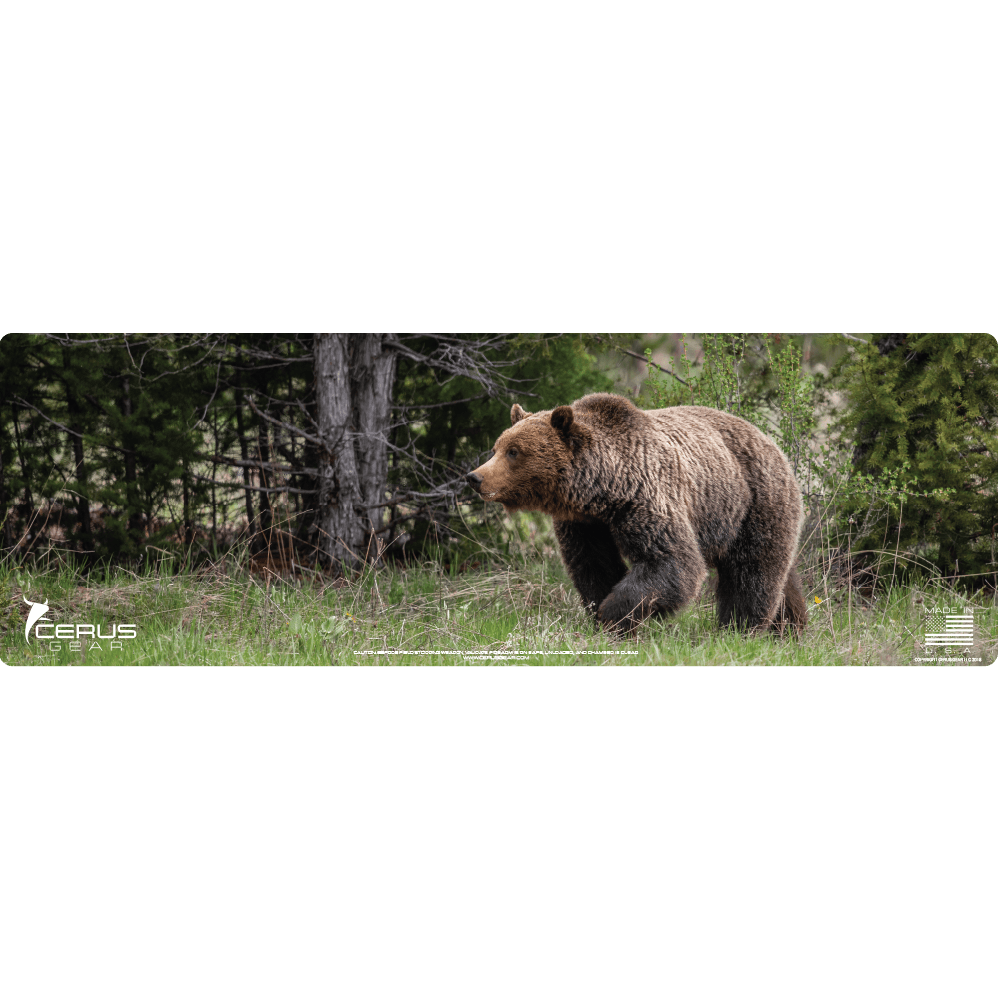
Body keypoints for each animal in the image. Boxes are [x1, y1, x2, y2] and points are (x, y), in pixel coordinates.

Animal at [466, 393, 807, 634]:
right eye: (497, 447)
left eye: (514, 452)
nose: (475, 477)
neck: (602, 490)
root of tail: (771, 441)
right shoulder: (585, 524)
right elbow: (593, 565)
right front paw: (602, 614)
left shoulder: (645, 499)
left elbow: (671, 561)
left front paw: (614, 615)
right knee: (783, 577)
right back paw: (790, 629)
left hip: (752, 502)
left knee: (751, 571)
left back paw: (740, 627)